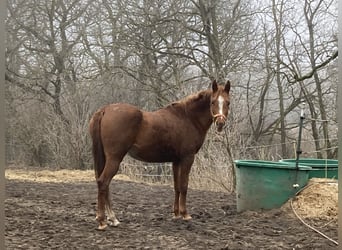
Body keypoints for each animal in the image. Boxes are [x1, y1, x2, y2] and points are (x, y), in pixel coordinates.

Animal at [89, 79, 231, 229]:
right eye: (213, 102)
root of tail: (105, 110)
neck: (188, 118)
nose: (220, 123)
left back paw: (112, 218)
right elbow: (184, 185)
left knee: (104, 184)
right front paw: (185, 214)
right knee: (103, 182)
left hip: (106, 158)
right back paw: (103, 221)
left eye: (228, 102)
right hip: (114, 158)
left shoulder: (176, 160)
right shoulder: (187, 158)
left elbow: (177, 186)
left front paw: (176, 214)